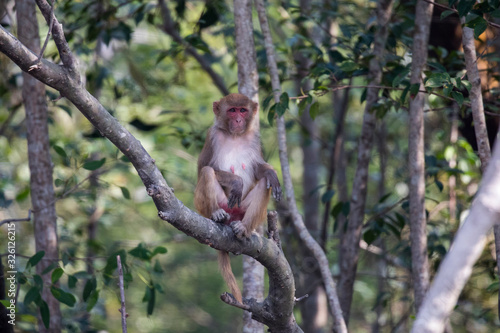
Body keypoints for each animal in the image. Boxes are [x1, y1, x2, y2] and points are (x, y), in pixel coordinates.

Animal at [194, 92, 282, 300]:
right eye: (232, 110)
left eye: (243, 110)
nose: (238, 120)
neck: (234, 136)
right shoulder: (212, 136)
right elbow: (203, 169)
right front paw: (236, 182)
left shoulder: (254, 138)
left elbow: (259, 171)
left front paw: (270, 172)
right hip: (217, 204)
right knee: (208, 172)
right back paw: (217, 215)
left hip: (241, 209)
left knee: (263, 185)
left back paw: (244, 228)